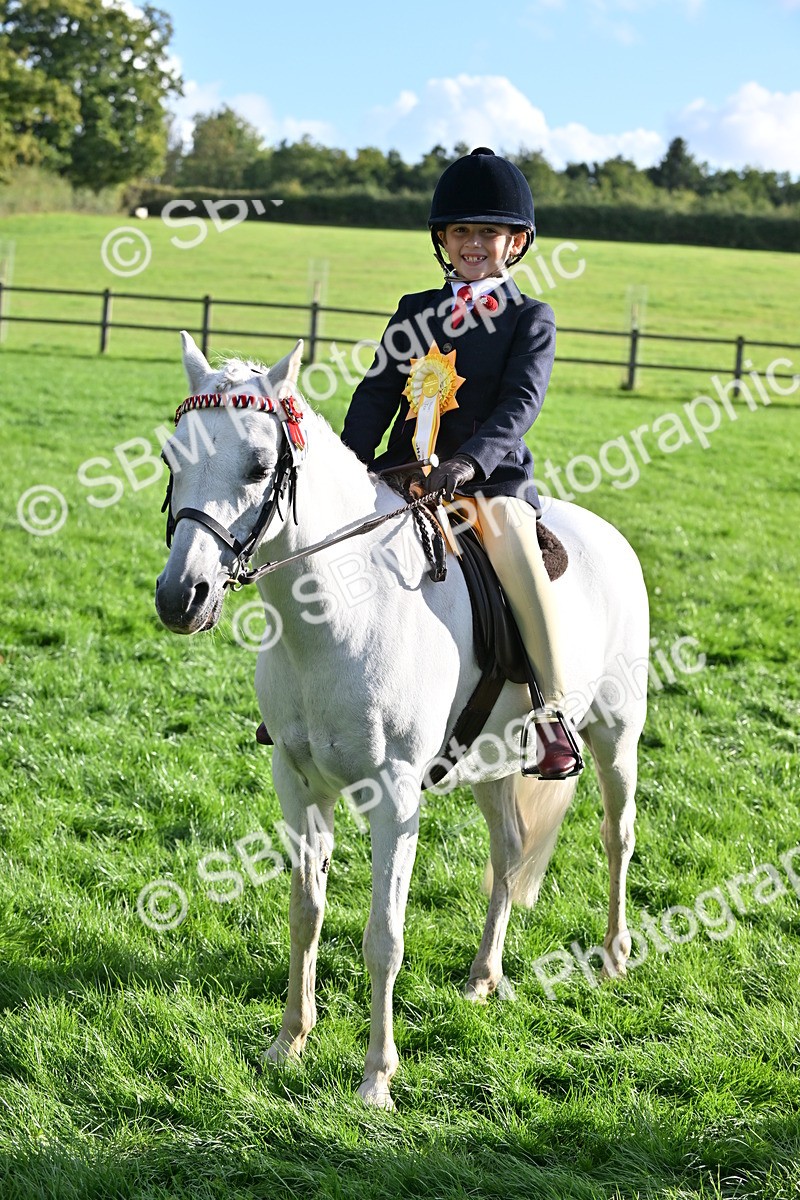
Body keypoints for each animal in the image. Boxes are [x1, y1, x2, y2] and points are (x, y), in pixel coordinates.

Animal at [155, 331, 649, 1110]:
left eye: (260, 466)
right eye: (173, 458)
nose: (183, 596)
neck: (339, 615)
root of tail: (605, 533)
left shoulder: (394, 797)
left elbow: (383, 936)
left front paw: (376, 1079)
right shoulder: (296, 782)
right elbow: (306, 914)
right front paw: (287, 1044)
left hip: (616, 734)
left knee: (616, 836)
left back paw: (615, 956)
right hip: (494, 760)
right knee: (508, 850)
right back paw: (482, 977)